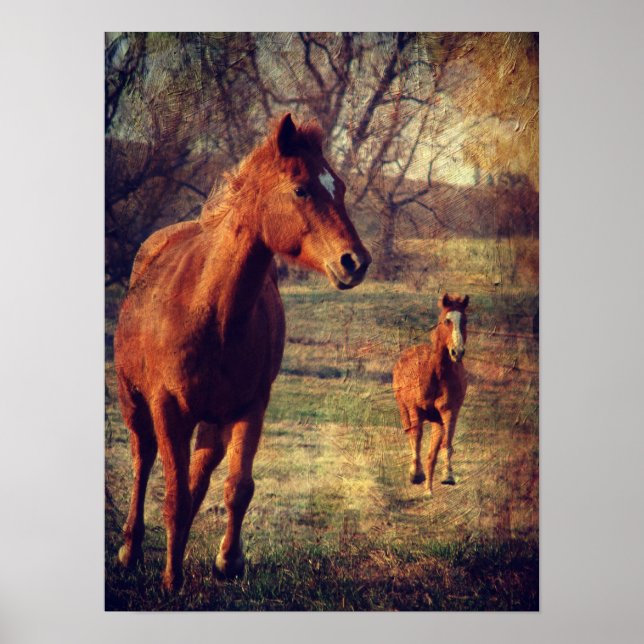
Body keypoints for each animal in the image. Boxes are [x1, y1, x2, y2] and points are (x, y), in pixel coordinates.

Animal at [113, 114, 371, 591]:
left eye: (340, 187)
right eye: (301, 189)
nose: (355, 262)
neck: (212, 311)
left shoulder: (250, 407)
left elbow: (237, 487)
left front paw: (227, 561)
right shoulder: (167, 408)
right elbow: (172, 492)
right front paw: (171, 578)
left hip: (213, 421)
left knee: (200, 473)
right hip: (134, 402)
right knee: (143, 461)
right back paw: (130, 550)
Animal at [392, 293, 469, 496]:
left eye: (465, 320)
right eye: (446, 320)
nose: (457, 352)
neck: (436, 373)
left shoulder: (449, 411)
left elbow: (446, 443)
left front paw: (448, 476)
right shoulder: (415, 409)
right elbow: (416, 437)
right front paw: (415, 474)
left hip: (436, 421)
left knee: (432, 453)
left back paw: (428, 490)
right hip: (404, 410)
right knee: (411, 434)